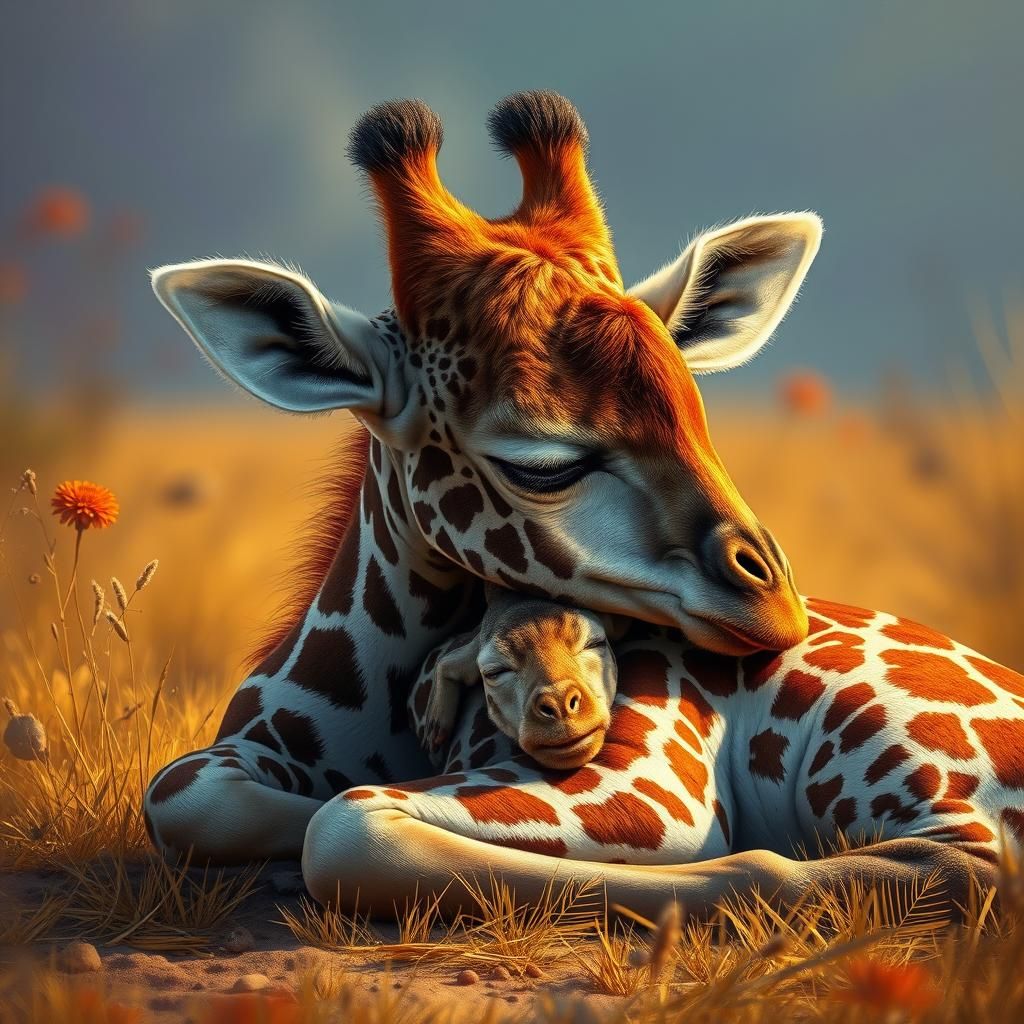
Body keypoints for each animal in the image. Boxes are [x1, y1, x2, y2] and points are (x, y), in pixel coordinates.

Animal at [142, 92, 1022, 920]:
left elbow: (346, 823)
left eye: (696, 412)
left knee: (959, 865)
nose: (776, 607)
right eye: (542, 464)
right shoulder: (230, 754)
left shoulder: (652, 782)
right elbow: (186, 794)